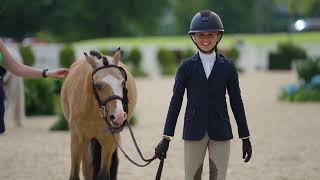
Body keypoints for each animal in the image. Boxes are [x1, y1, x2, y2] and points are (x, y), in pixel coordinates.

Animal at [60, 48, 137, 180]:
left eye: (123, 83)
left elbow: (104, 174)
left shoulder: (109, 140)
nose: (118, 117)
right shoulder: (77, 138)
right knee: (87, 168)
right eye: (97, 86)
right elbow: (75, 175)